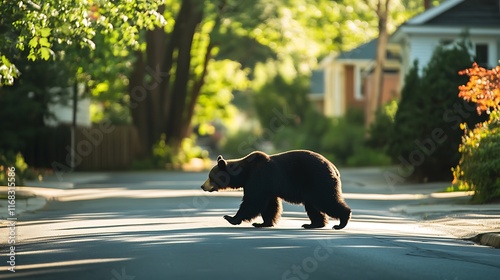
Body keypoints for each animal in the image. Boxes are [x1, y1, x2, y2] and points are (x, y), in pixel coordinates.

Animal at [200, 150, 352, 229]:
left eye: (210, 176)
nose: (202, 186)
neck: (245, 173)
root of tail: (334, 168)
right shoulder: (268, 187)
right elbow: (270, 205)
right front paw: (262, 223)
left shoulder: (259, 178)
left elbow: (252, 201)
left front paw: (230, 217)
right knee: (313, 206)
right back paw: (312, 224)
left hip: (318, 181)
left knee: (326, 200)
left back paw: (341, 222)